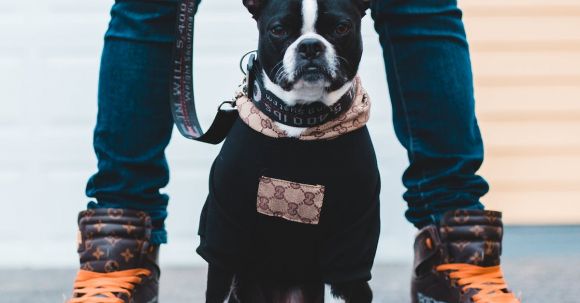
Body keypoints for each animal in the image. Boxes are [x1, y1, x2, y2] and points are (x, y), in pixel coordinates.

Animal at [198, 1, 380, 302]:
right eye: (278, 30)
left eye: (342, 28)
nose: (310, 46)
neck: (302, 119)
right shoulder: (224, 233)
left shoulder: (352, 243)